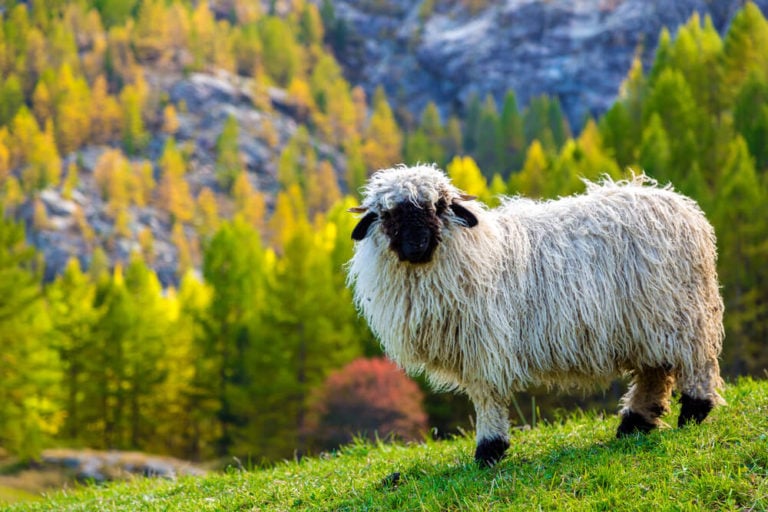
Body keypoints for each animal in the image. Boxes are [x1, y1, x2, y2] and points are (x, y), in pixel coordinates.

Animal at [348, 165, 728, 468]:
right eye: (387, 215)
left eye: (439, 207)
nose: (417, 244)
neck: (472, 250)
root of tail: (682, 206)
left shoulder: (485, 347)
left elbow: (486, 397)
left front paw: (488, 451)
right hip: (649, 323)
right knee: (655, 372)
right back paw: (634, 424)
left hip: (682, 313)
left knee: (697, 362)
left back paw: (693, 412)